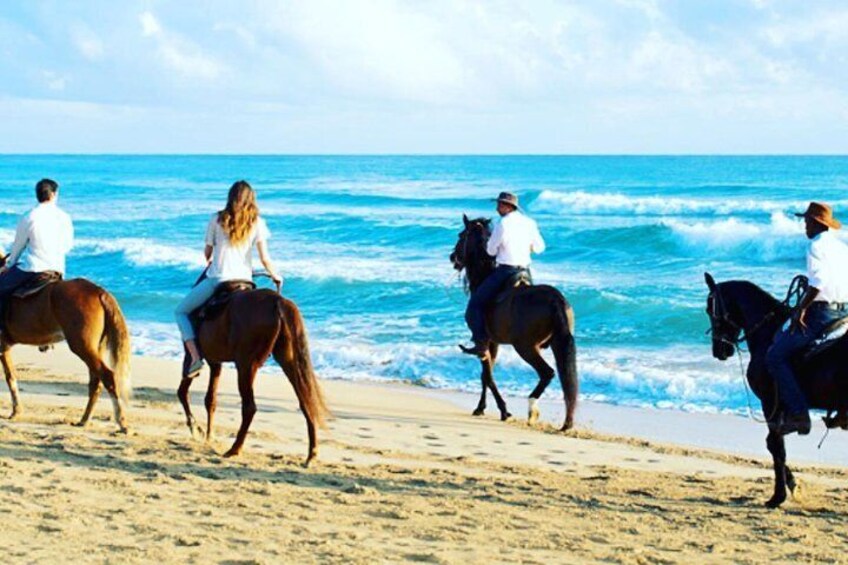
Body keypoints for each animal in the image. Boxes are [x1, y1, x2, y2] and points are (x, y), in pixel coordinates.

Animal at [0, 258, 131, 430]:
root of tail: (99, 292)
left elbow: (9, 377)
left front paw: (16, 412)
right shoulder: (4, 347)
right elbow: (11, 376)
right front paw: (16, 411)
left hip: (82, 346)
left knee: (107, 377)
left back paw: (121, 422)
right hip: (95, 348)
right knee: (95, 382)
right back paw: (84, 420)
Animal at [176, 284, 328, 464]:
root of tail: (278, 301)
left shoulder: (193, 357)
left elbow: (183, 392)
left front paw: (196, 428)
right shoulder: (216, 363)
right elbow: (210, 400)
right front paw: (208, 435)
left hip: (245, 365)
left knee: (249, 408)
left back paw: (234, 449)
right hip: (289, 362)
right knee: (306, 401)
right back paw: (312, 453)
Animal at [450, 215, 576, 428]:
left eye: (461, 235)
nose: (452, 257)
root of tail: (556, 300)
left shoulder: (484, 342)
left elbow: (488, 376)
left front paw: (502, 410)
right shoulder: (493, 343)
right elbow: (485, 376)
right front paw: (481, 408)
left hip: (525, 347)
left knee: (547, 373)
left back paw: (532, 409)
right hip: (556, 343)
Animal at [704, 272, 848, 506]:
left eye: (709, 309)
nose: (719, 350)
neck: (766, 333)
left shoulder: (770, 403)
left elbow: (775, 445)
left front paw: (779, 495)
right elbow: (775, 445)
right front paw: (792, 485)